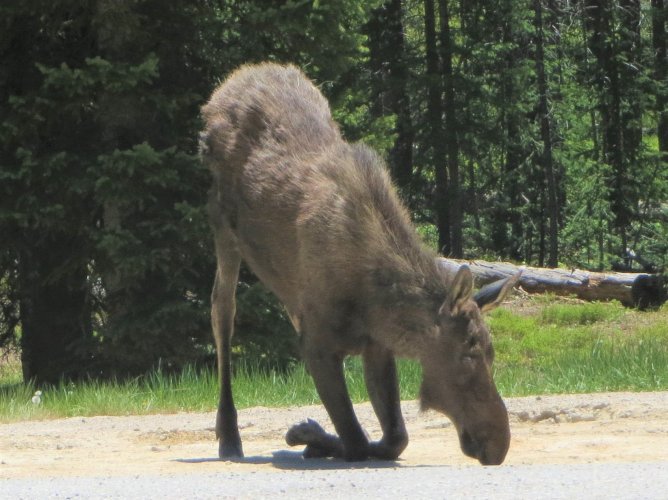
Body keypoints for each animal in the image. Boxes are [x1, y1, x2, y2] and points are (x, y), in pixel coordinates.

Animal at [201, 62, 520, 464]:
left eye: (491, 353)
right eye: (468, 353)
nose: (498, 444)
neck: (373, 298)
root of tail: (233, 80)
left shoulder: (375, 343)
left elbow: (395, 438)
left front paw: (315, 436)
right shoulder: (318, 342)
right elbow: (354, 441)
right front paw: (309, 435)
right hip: (221, 226)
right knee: (221, 312)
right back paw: (229, 435)